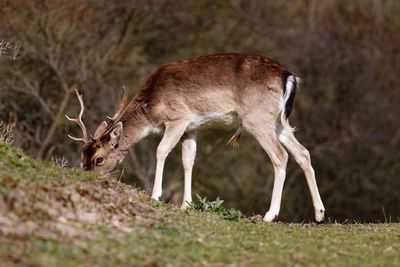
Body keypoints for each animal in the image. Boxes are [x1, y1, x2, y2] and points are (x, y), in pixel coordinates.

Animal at [66, 53, 324, 223]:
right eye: (82, 157)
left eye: (99, 159)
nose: (87, 177)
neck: (150, 107)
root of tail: (289, 77)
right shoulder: (192, 128)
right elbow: (188, 161)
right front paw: (185, 204)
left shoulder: (178, 118)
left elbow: (161, 150)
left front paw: (156, 196)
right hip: (280, 122)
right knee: (303, 153)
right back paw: (319, 214)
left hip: (257, 119)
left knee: (280, 157)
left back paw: (269, 215)